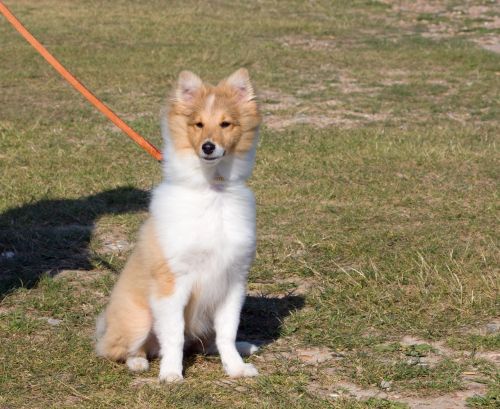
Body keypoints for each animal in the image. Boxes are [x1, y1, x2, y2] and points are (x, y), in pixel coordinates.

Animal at [95, 68, 264, 380]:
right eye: (198, 124)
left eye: (225, 124)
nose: (208, 147)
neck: (212, 190)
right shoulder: (172, 282)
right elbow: (172, 334)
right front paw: (171, 374)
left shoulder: (233, 280)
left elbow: (227, 332)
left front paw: (235, 368)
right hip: (138, 319)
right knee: (122, 349)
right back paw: (138, 362)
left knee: (206, 342)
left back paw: (244, 347)